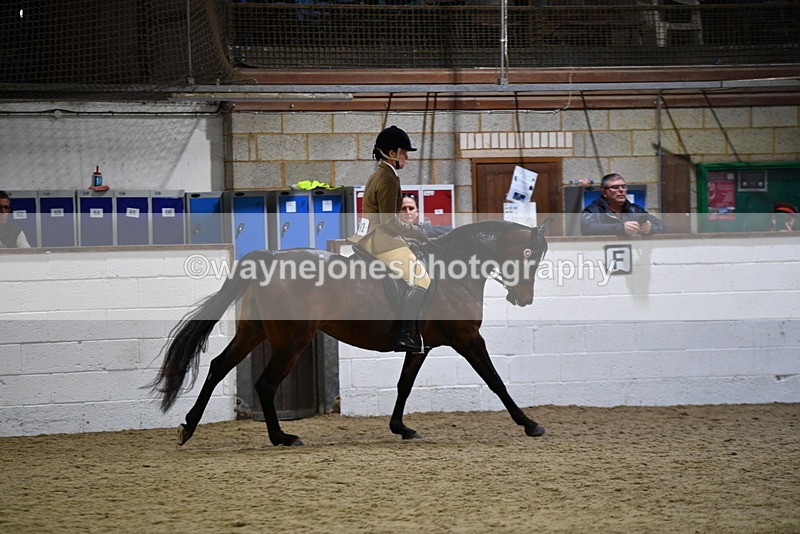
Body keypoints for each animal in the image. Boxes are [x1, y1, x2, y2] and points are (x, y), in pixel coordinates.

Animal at [151, 219, 552, 446]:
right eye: (528, 254)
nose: (524, 299)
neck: (453, 270)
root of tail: (271, 257)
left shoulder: (421, 346)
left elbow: (404, 385)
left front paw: (401, 428)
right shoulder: (467, 338)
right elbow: (495, 380)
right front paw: (530, 424)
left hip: (255, 332)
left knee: (219, 367)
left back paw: (188, 427)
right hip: (291, 341)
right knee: (265, 383)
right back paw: (281, 438)